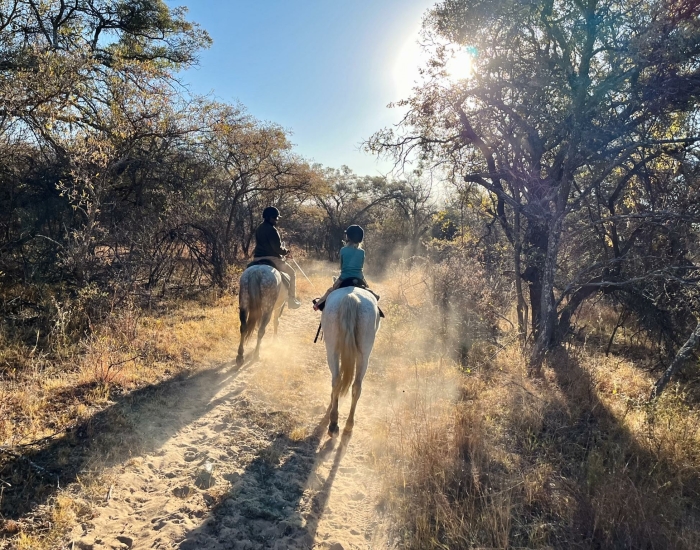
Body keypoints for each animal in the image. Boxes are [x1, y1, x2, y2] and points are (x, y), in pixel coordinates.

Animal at [322, 286, 382, 438]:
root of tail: (350, 298)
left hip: (332, 350)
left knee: (336, 380)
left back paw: (333, 423)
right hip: (364, 354)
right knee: (356, 386)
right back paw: (348, 425)